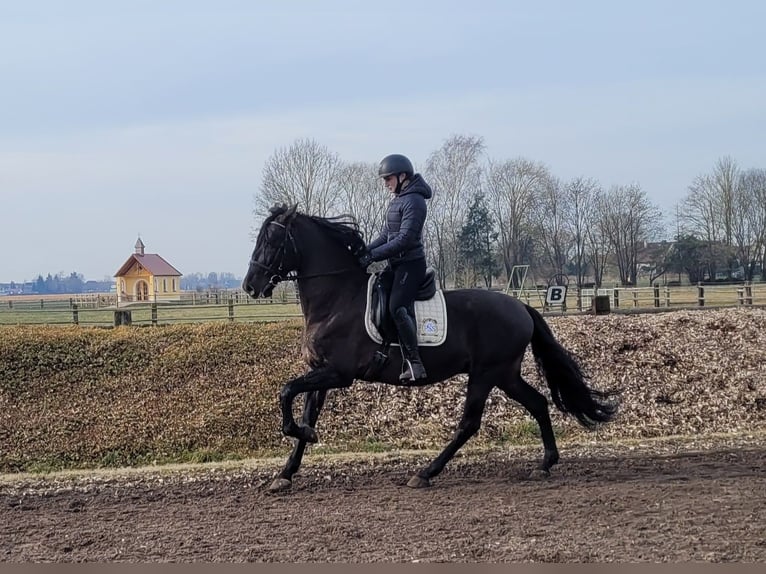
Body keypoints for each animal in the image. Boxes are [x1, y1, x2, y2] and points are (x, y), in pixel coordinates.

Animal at [243, 205, 620, 492]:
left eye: (272, 240)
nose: (250, 286)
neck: (337, 300)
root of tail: (520, 306)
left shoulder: (338, 374)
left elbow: (285, 391)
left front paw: (302, 436)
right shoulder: (320, 371)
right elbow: (304, 409)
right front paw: (286, 471)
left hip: (486, 374)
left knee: (469, 423)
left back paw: (425, 473)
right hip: (505, 374)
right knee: (538, 403)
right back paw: (544, 464)